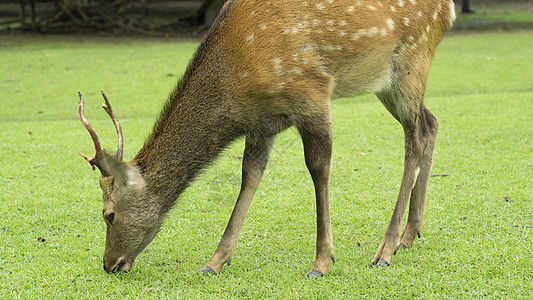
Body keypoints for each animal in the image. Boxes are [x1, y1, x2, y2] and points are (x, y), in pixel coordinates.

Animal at [77, 0, 456, 278]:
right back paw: (410, 234)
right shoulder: (262, 123)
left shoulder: (312, 91)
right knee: (431, 122)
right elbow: (250, 176)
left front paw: (321, 262)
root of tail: (448, 7)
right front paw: (214, 261)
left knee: (414, 139)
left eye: (108, 214)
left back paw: (386, 249)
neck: (235, 81)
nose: (109, 263)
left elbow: (319, 169)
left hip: (412, 58)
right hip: (386, 81)